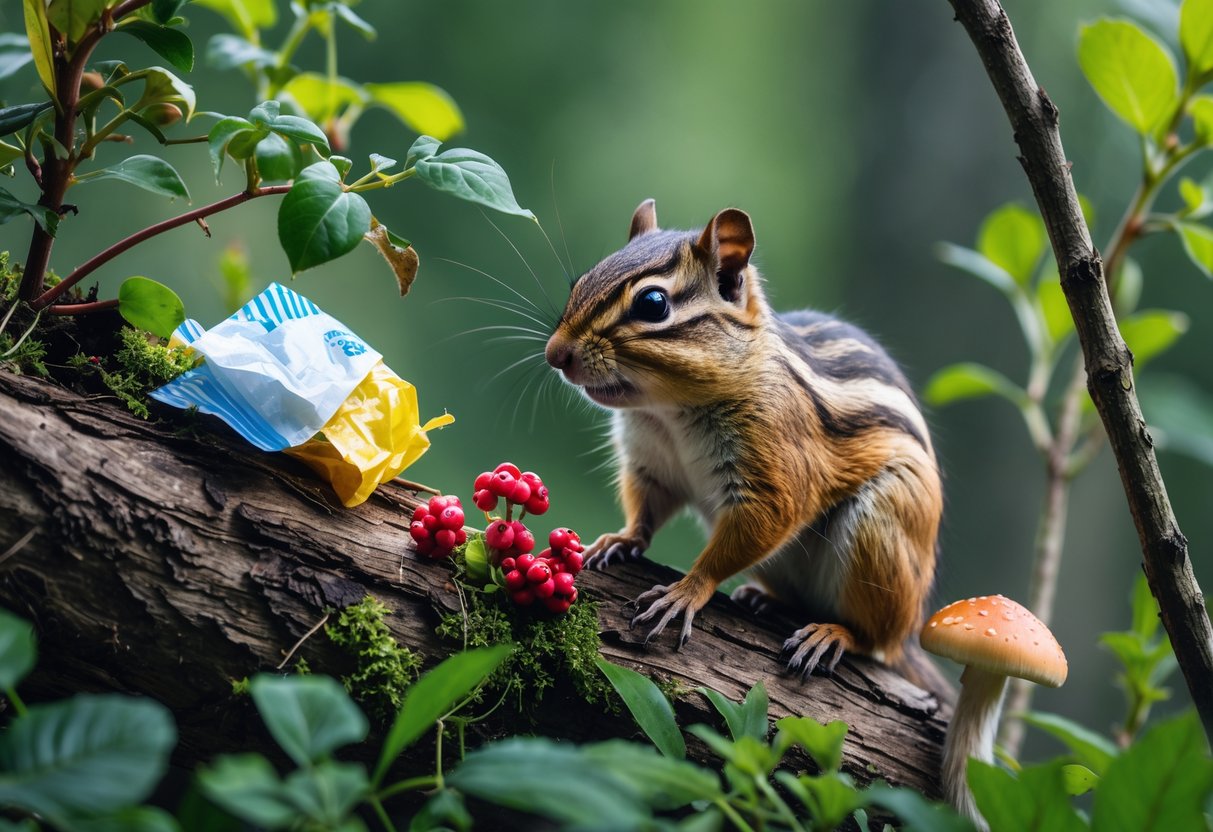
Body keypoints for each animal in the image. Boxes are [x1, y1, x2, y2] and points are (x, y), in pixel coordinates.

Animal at [544, 199, 943, 679]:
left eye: (653, 303)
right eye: (580, 282)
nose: (554, 354)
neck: (670, 412)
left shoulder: (773, 470)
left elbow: (758, 524)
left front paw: (686, 591)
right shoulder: (650, 464)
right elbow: (645, 510)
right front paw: (620, 540)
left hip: (881, 533)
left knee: (877, 641)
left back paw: (834, 634)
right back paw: (765, 599)